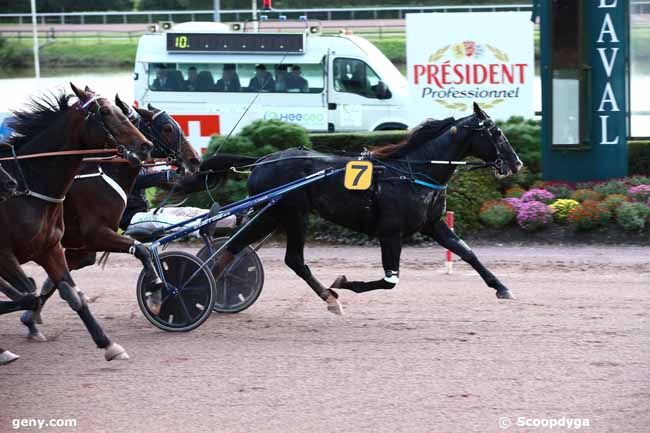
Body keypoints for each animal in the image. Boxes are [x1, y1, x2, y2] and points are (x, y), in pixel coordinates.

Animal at [0, 84, 153, 364]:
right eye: (105, 112)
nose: (144, 145)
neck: (27, 187)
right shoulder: (5, 254)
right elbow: (30, 295)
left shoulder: (51, 249)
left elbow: (72, 295)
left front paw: (109, 345)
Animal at [19, 98, 201, 340]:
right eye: (167, 128)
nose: (195, 159)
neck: (101, 173)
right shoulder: (96, 234)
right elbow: (141, 250)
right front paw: (156, 295)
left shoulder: (81, 245)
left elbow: (58, 278)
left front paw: (31, 317)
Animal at [218, 104, 520, 314]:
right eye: (496, 132)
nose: (516, 163)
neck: (413, 172)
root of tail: (261, 162)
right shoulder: (390, 233)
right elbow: (390, 280)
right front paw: (343, 283)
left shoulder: (433, 224)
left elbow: (467, 252)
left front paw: (502, 288)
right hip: (292, 215)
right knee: (292, 258)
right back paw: (329, 299)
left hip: (272, 215)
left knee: (235, 245)